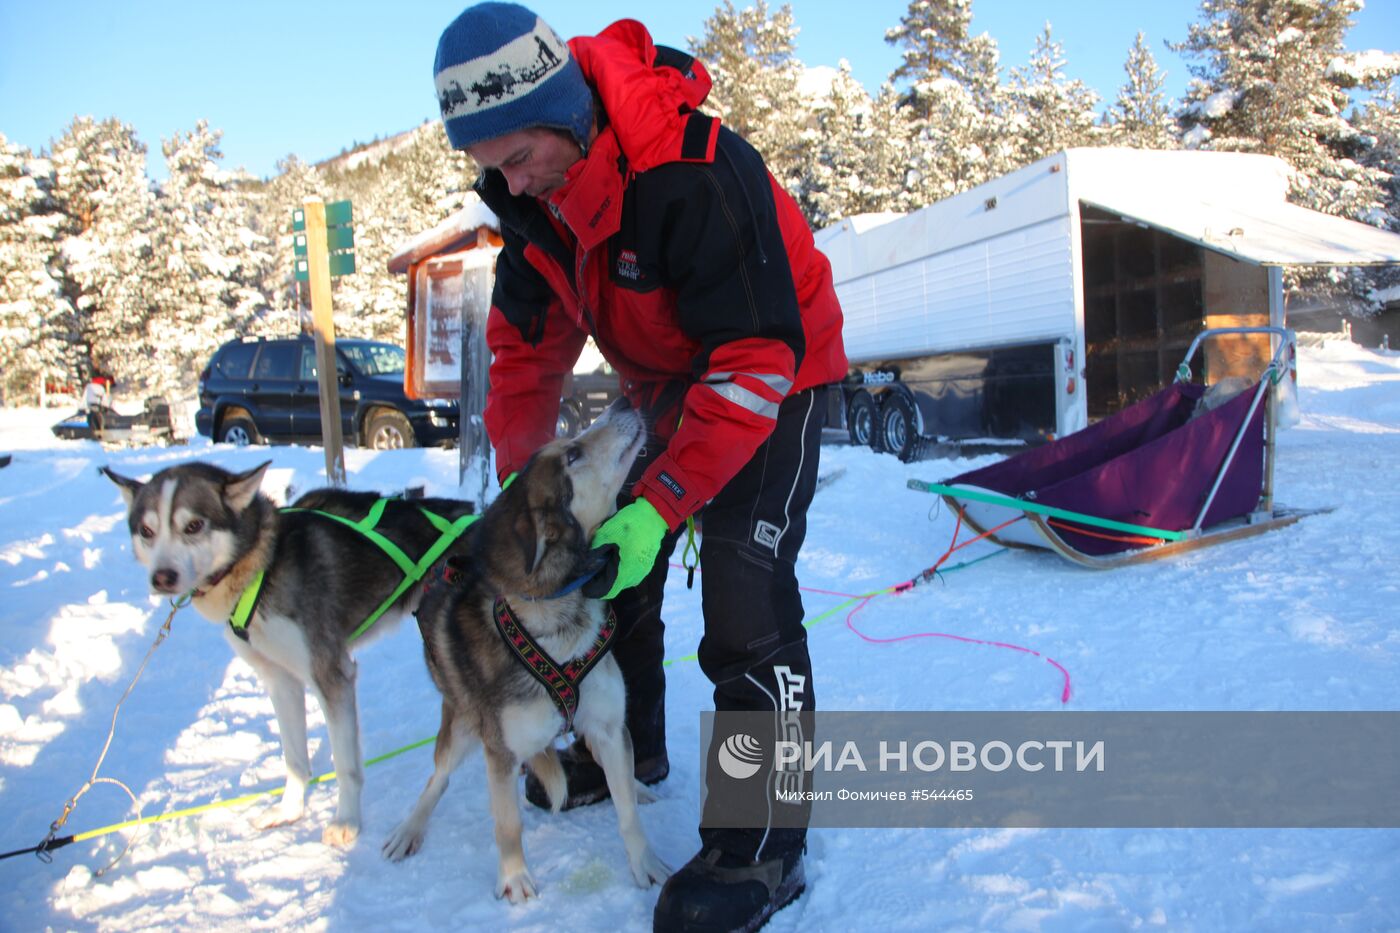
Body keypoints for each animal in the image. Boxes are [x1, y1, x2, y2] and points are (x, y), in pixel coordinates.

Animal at [102, 462, 476, 846]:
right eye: (147, 531)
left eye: (193, 525)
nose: (162, 577)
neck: (264, 564)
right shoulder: (279, 679)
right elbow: (294, 759)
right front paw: (290, 811)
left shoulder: (332, 675)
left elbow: (345, 764)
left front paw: (346, 821)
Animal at [380, 403, 669, 896]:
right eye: (572, 454)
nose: (622, 404)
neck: (557, 619)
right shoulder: (499, 749)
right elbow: (507, 823)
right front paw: (515, 878)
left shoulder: (609, 729)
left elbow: (627, 812)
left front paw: (646, 862)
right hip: (463, 727)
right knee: (438, 777)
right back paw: (409, 829)